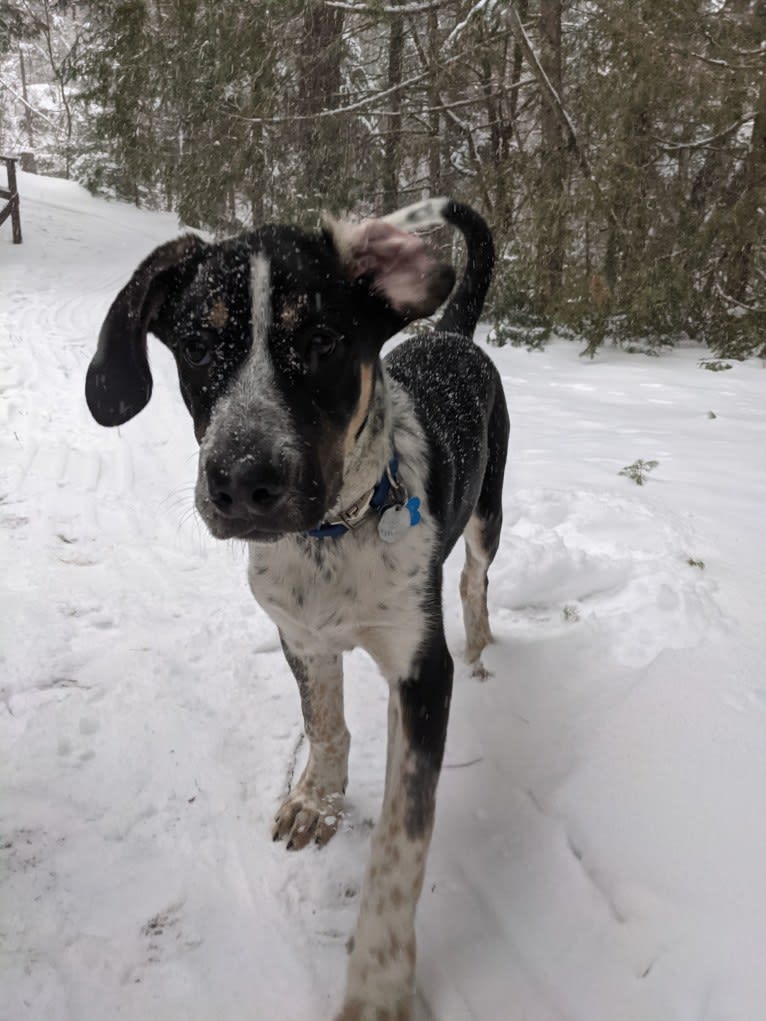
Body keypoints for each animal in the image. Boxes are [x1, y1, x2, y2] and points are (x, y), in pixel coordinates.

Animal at [85, 199, 510, 1021]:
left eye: (319, 339)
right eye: (197, 344)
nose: (242, 482)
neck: (332, 535)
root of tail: (451, 332)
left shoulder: (421, 671)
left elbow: (403, 840)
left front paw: (379, 979)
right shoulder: (299, 631)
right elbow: (325, 721)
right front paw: (317, 801)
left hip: (488, 511)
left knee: (475, 579)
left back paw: (482, 645)